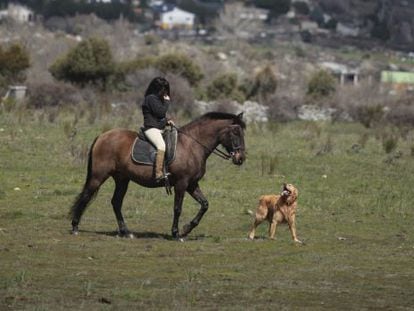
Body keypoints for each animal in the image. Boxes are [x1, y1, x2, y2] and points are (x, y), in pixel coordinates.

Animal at [69, 111, 247, 239]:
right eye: (236, 132)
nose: (241, 158)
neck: (192, 145)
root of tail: (102, 136)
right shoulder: (182, 183)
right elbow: (177, 208)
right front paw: (176, 233)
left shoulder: (192, 184)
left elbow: (205, 205)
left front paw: (186, 229)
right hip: (98, 176)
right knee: (86, 196)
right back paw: (75, 227)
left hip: (122, 179)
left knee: (116, 202)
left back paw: (126, 232)